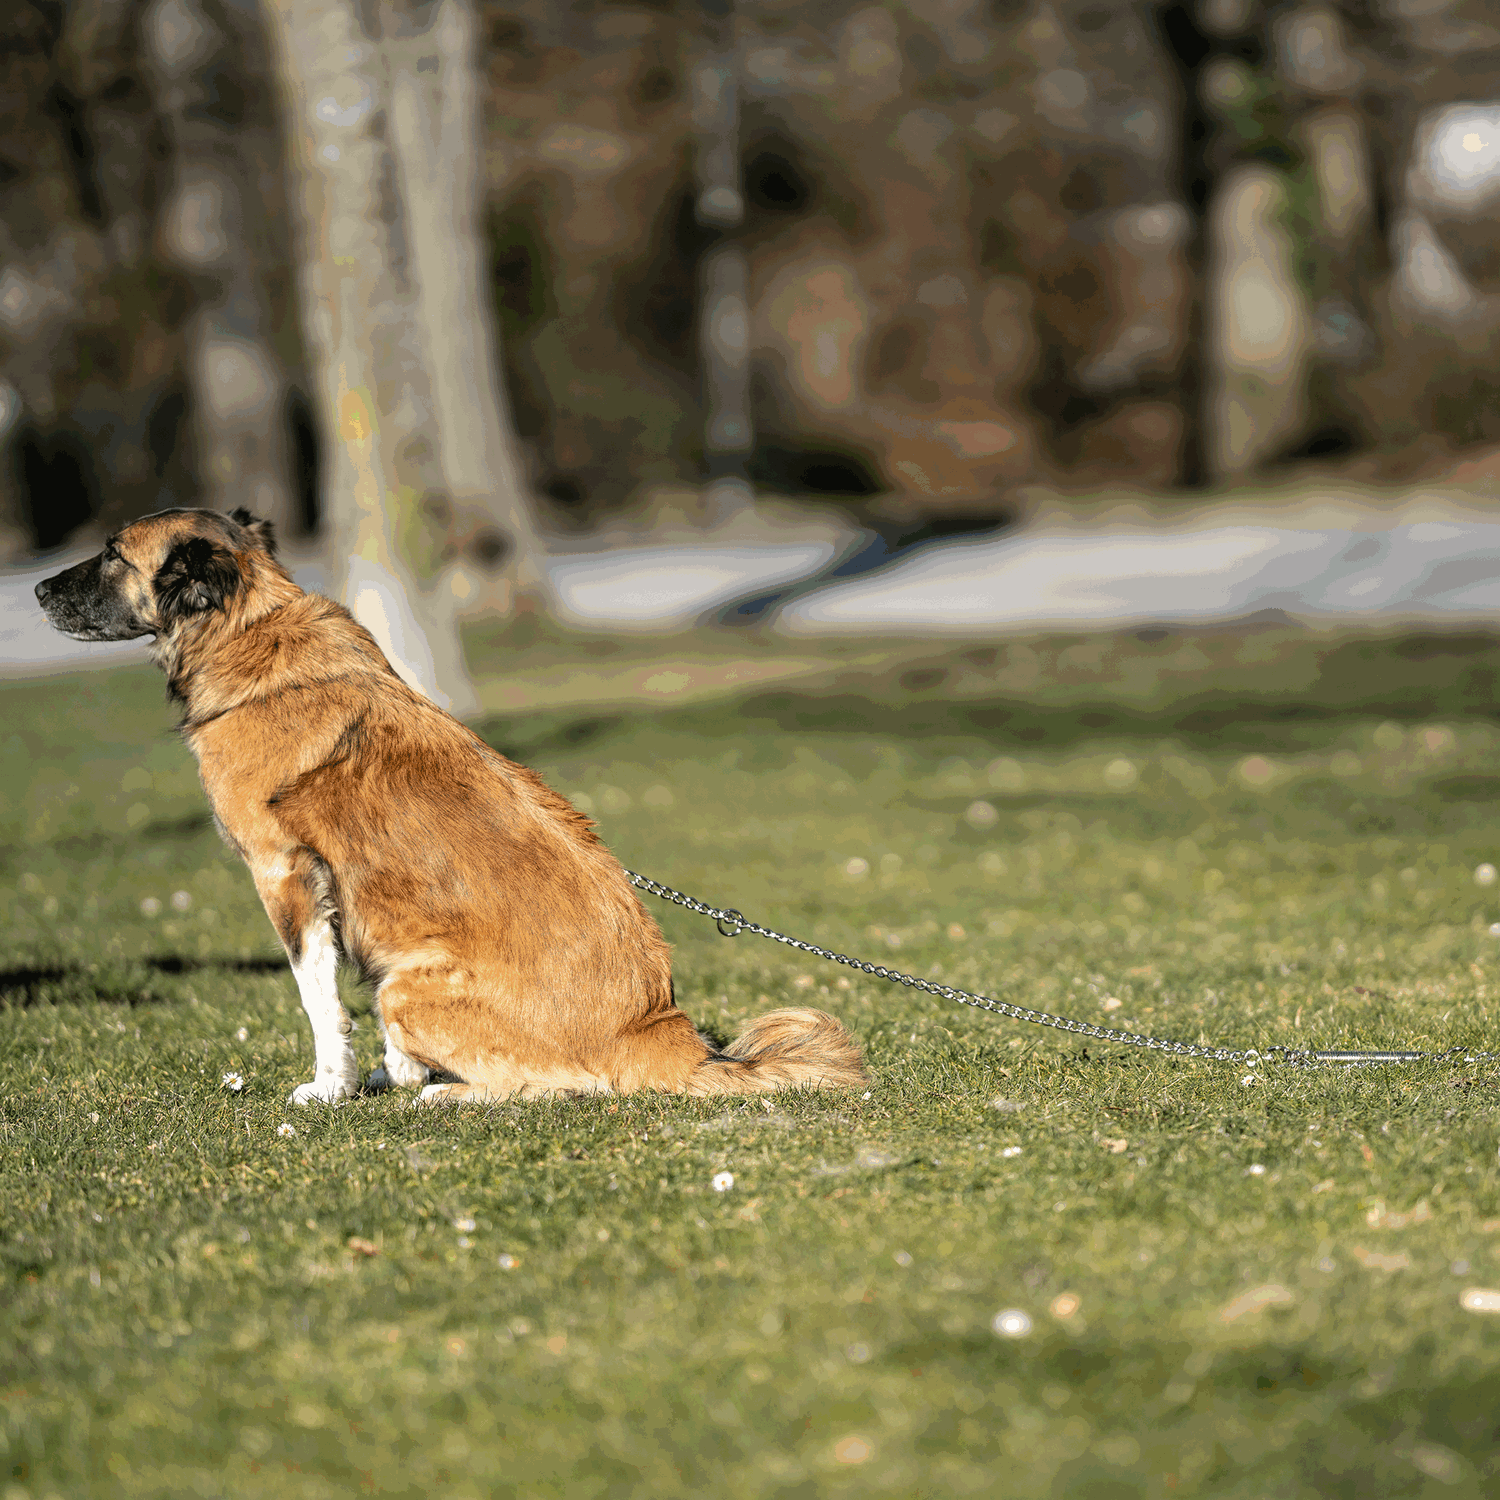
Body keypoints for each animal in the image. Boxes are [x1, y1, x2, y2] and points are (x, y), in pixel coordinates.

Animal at [35, 510, 870, 1110]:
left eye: (111, 554)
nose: (37, 592)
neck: (251, 631)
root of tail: (657, 1028)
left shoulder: (284, 876)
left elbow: (319, 1000)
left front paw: (333, 1088)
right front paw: (391, 1070)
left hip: (408, 983)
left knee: (557, 1085)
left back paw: (442, 1096)